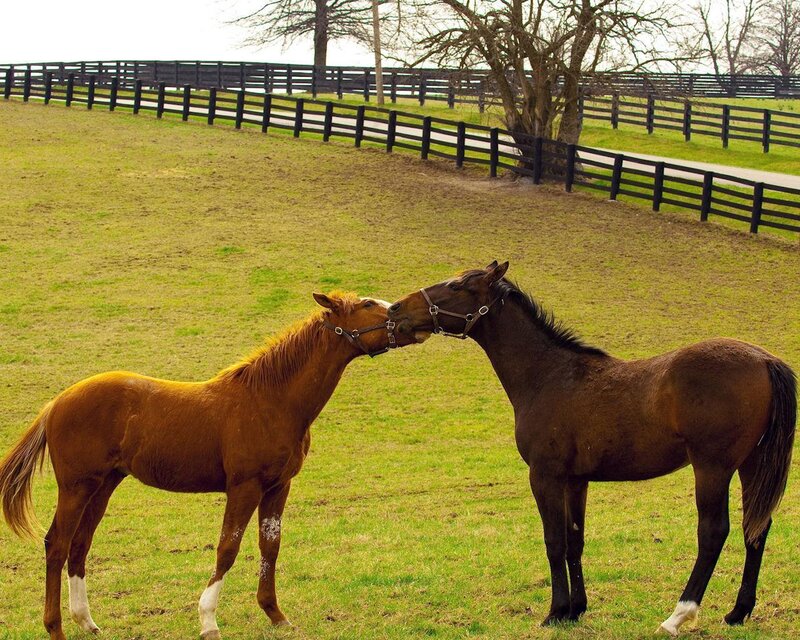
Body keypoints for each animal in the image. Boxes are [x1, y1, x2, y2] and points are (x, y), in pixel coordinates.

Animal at [0, 291, 416, 640]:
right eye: (367, 304)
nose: (406, 316)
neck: (271, 399)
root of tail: (56, 403)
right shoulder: (244, 487)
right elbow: (227, 548)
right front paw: (208, 621)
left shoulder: (278, 486)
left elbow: (270, 546)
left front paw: (275, 614)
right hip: (76, 487)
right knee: (57, 544)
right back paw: (55, 628)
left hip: (103, 486)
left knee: (79, 544)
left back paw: (86, 621)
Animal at [388, 262, 796, 636]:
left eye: (457, 286)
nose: (395, 309)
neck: (548, 374)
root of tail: (765, 359)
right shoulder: (576, 480)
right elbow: (574, 541)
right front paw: (576, 609)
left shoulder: (545, 476)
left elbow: (554, 541)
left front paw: (555, 611)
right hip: (751, 465)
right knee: (755, 527)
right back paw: (738, 612)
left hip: (712, 468)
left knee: (714, 532)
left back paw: (678, 615)